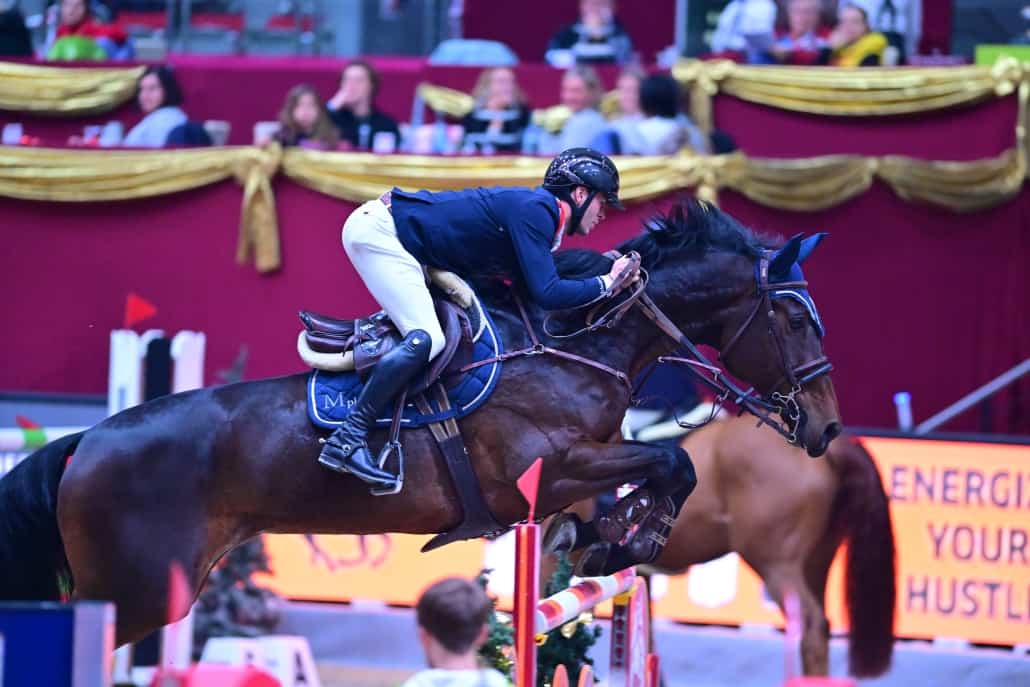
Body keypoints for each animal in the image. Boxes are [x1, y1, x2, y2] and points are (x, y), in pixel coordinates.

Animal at [0, 198, 842, 645]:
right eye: (797, 318)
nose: (829, 431)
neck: (578, 343)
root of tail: (85, 441)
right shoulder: (539, 471)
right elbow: (671, 463)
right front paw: (624, 538)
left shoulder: (580, 463)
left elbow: (660, 471)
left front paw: (608, 537)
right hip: (136, 590)